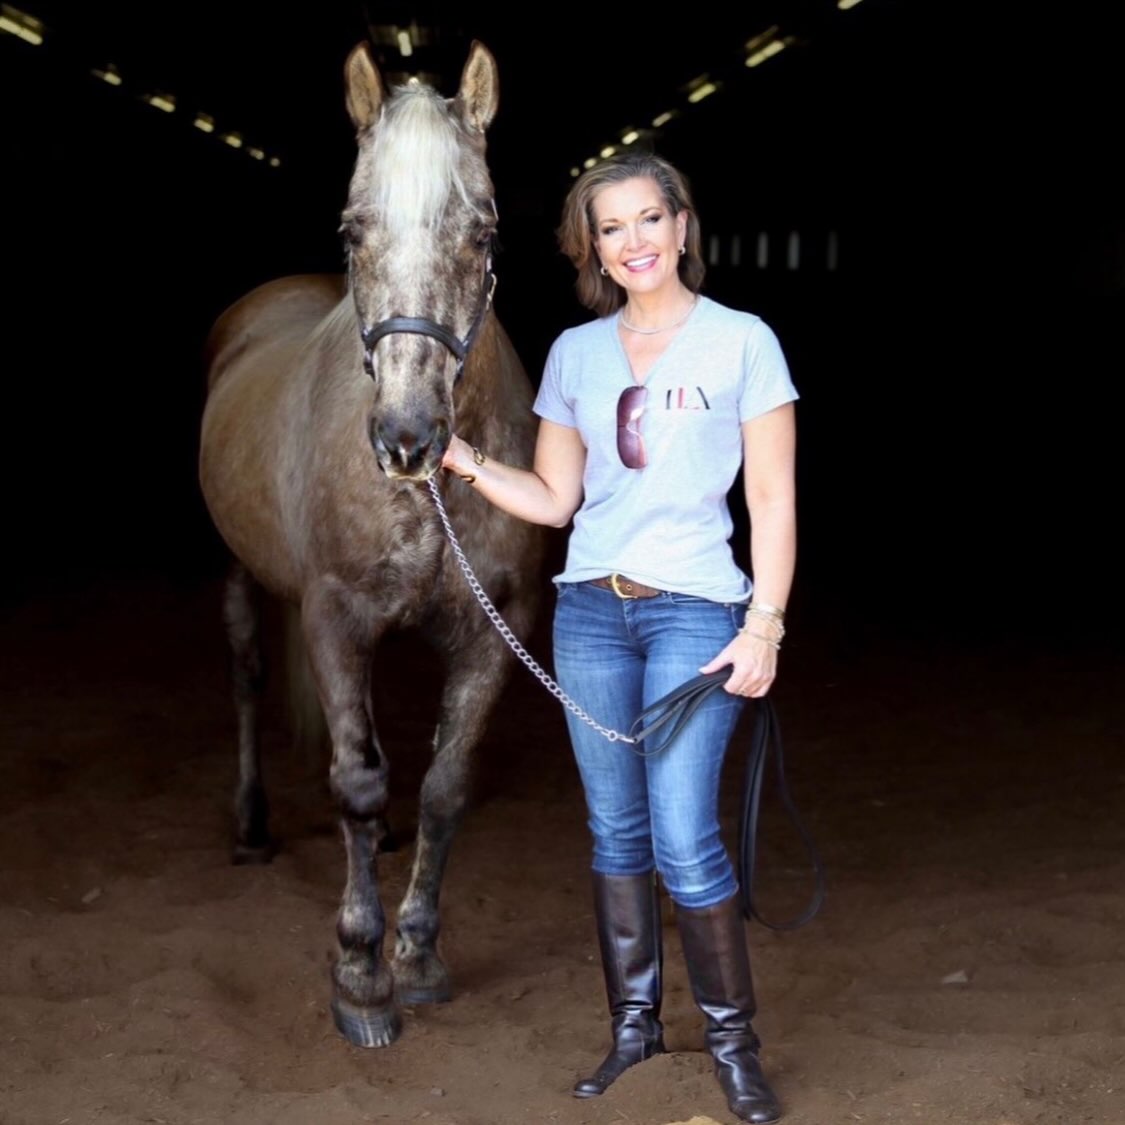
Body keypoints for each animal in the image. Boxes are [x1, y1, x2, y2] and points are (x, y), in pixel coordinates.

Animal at [198, 40, 544, 1049]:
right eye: (353, 233)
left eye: (484, 234)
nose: (406, 438)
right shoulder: (335, 619)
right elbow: (356, 780)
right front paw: (359, 972)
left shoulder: (495, 629)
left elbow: (443, 785)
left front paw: (417, 954)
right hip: (240, 574)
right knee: (246, 679)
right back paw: (251, 827)